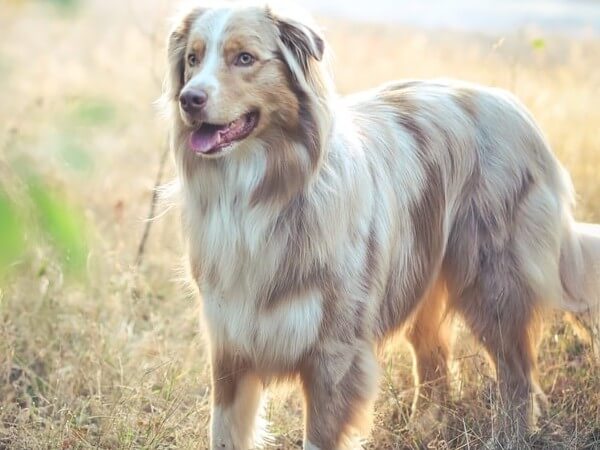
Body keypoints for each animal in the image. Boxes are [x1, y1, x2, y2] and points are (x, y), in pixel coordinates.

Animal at [164, 1, 600, 448]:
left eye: (244, 58)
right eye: (193, 59)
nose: (188, 98)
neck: (258, 194)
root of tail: (514, 108)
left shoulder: (334, 355)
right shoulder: (230, 346)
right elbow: (224, 431)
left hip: (493, 285)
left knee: (516, 374)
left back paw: (509, 434)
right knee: (435, 361)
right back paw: (425, 428)